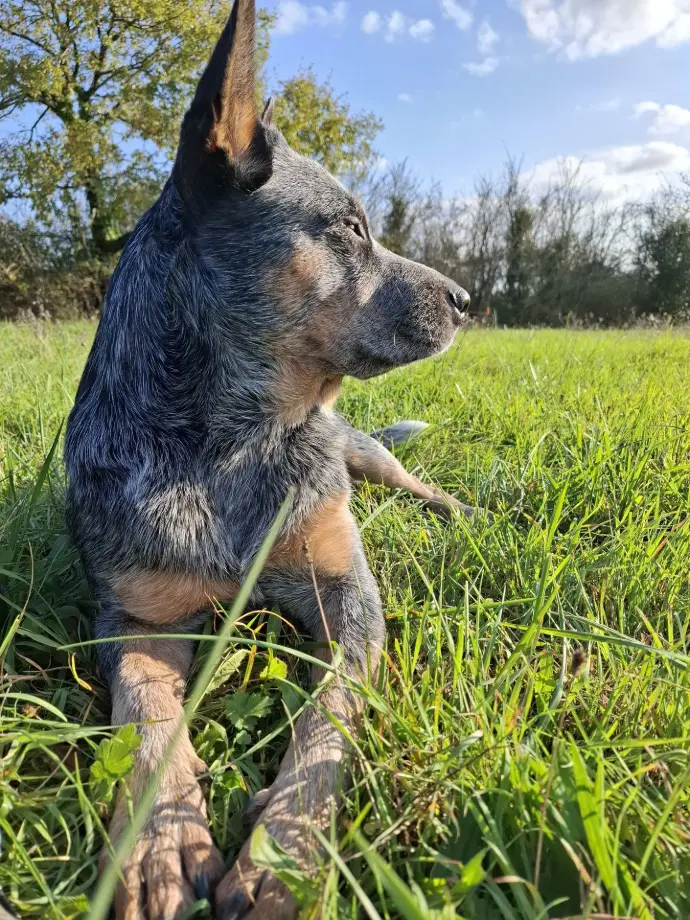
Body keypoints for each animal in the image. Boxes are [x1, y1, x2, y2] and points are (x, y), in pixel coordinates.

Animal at [63, 3, 472, 916]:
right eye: (350, 228)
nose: (469, 299)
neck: (234, 445)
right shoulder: (135, 614)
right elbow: (145, 714)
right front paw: (159, 841)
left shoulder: (348, 594)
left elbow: (330, 715)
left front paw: (284, 850)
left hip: (365, 451)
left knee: (405, 475)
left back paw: (453, 507)